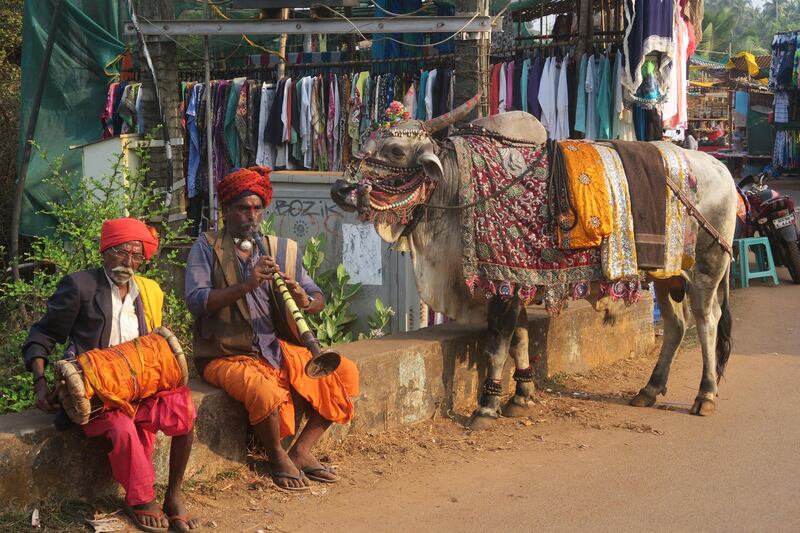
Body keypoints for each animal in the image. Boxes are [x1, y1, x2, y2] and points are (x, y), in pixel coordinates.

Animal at [332, 95, 736, 428]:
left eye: (396, 150)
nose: (341, 189)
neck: (461, 186)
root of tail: (722, 170)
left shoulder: (505, 284)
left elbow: (498, 344)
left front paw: (486, 407)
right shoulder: (520, 282)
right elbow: (521, 339)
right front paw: (521, 396)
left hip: (707, 268)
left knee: (707, 322)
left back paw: (706, 394)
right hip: (668, 275)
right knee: (676, 326)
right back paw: (650, 390)